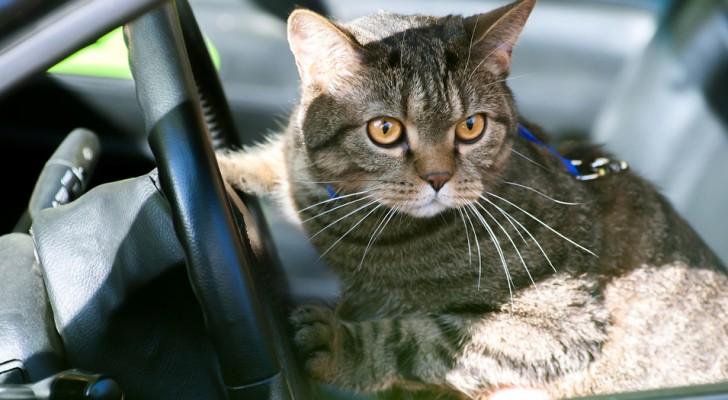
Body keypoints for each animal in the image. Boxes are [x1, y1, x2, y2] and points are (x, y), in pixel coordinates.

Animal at [216, 1, 728, 398]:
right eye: (385, 130)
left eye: (470, 126)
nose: (438, 177)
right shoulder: (303, 177)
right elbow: (283, 160)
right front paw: (227, 164)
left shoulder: (558, 322)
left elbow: (424, 339)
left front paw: (342, 345)